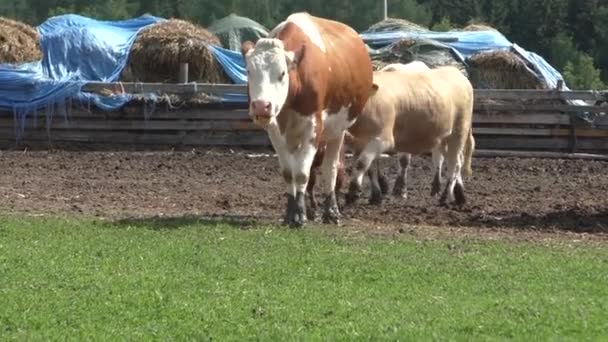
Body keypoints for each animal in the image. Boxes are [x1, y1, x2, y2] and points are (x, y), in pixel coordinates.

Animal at [240, 12, 372, 227]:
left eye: (282, 73)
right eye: (249, 71)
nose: (261, 105)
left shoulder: (313, 128)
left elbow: (302, 173)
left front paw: (300, 214)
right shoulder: (274, 129)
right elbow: (289, 173)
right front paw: (290, 213)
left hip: (338, 130)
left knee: (331, 169)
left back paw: (331, 211)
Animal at [342, 65, 476, 207]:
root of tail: (455, 71)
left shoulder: (383, 139)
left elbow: (361, 164)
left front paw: (352, 193)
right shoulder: (361, 143)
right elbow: (369, 168)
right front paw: (376, 196)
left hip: (458, 132)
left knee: (454, 164)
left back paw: (445, 196)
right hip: (443, 138)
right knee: (455, 161)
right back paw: (459, 195)